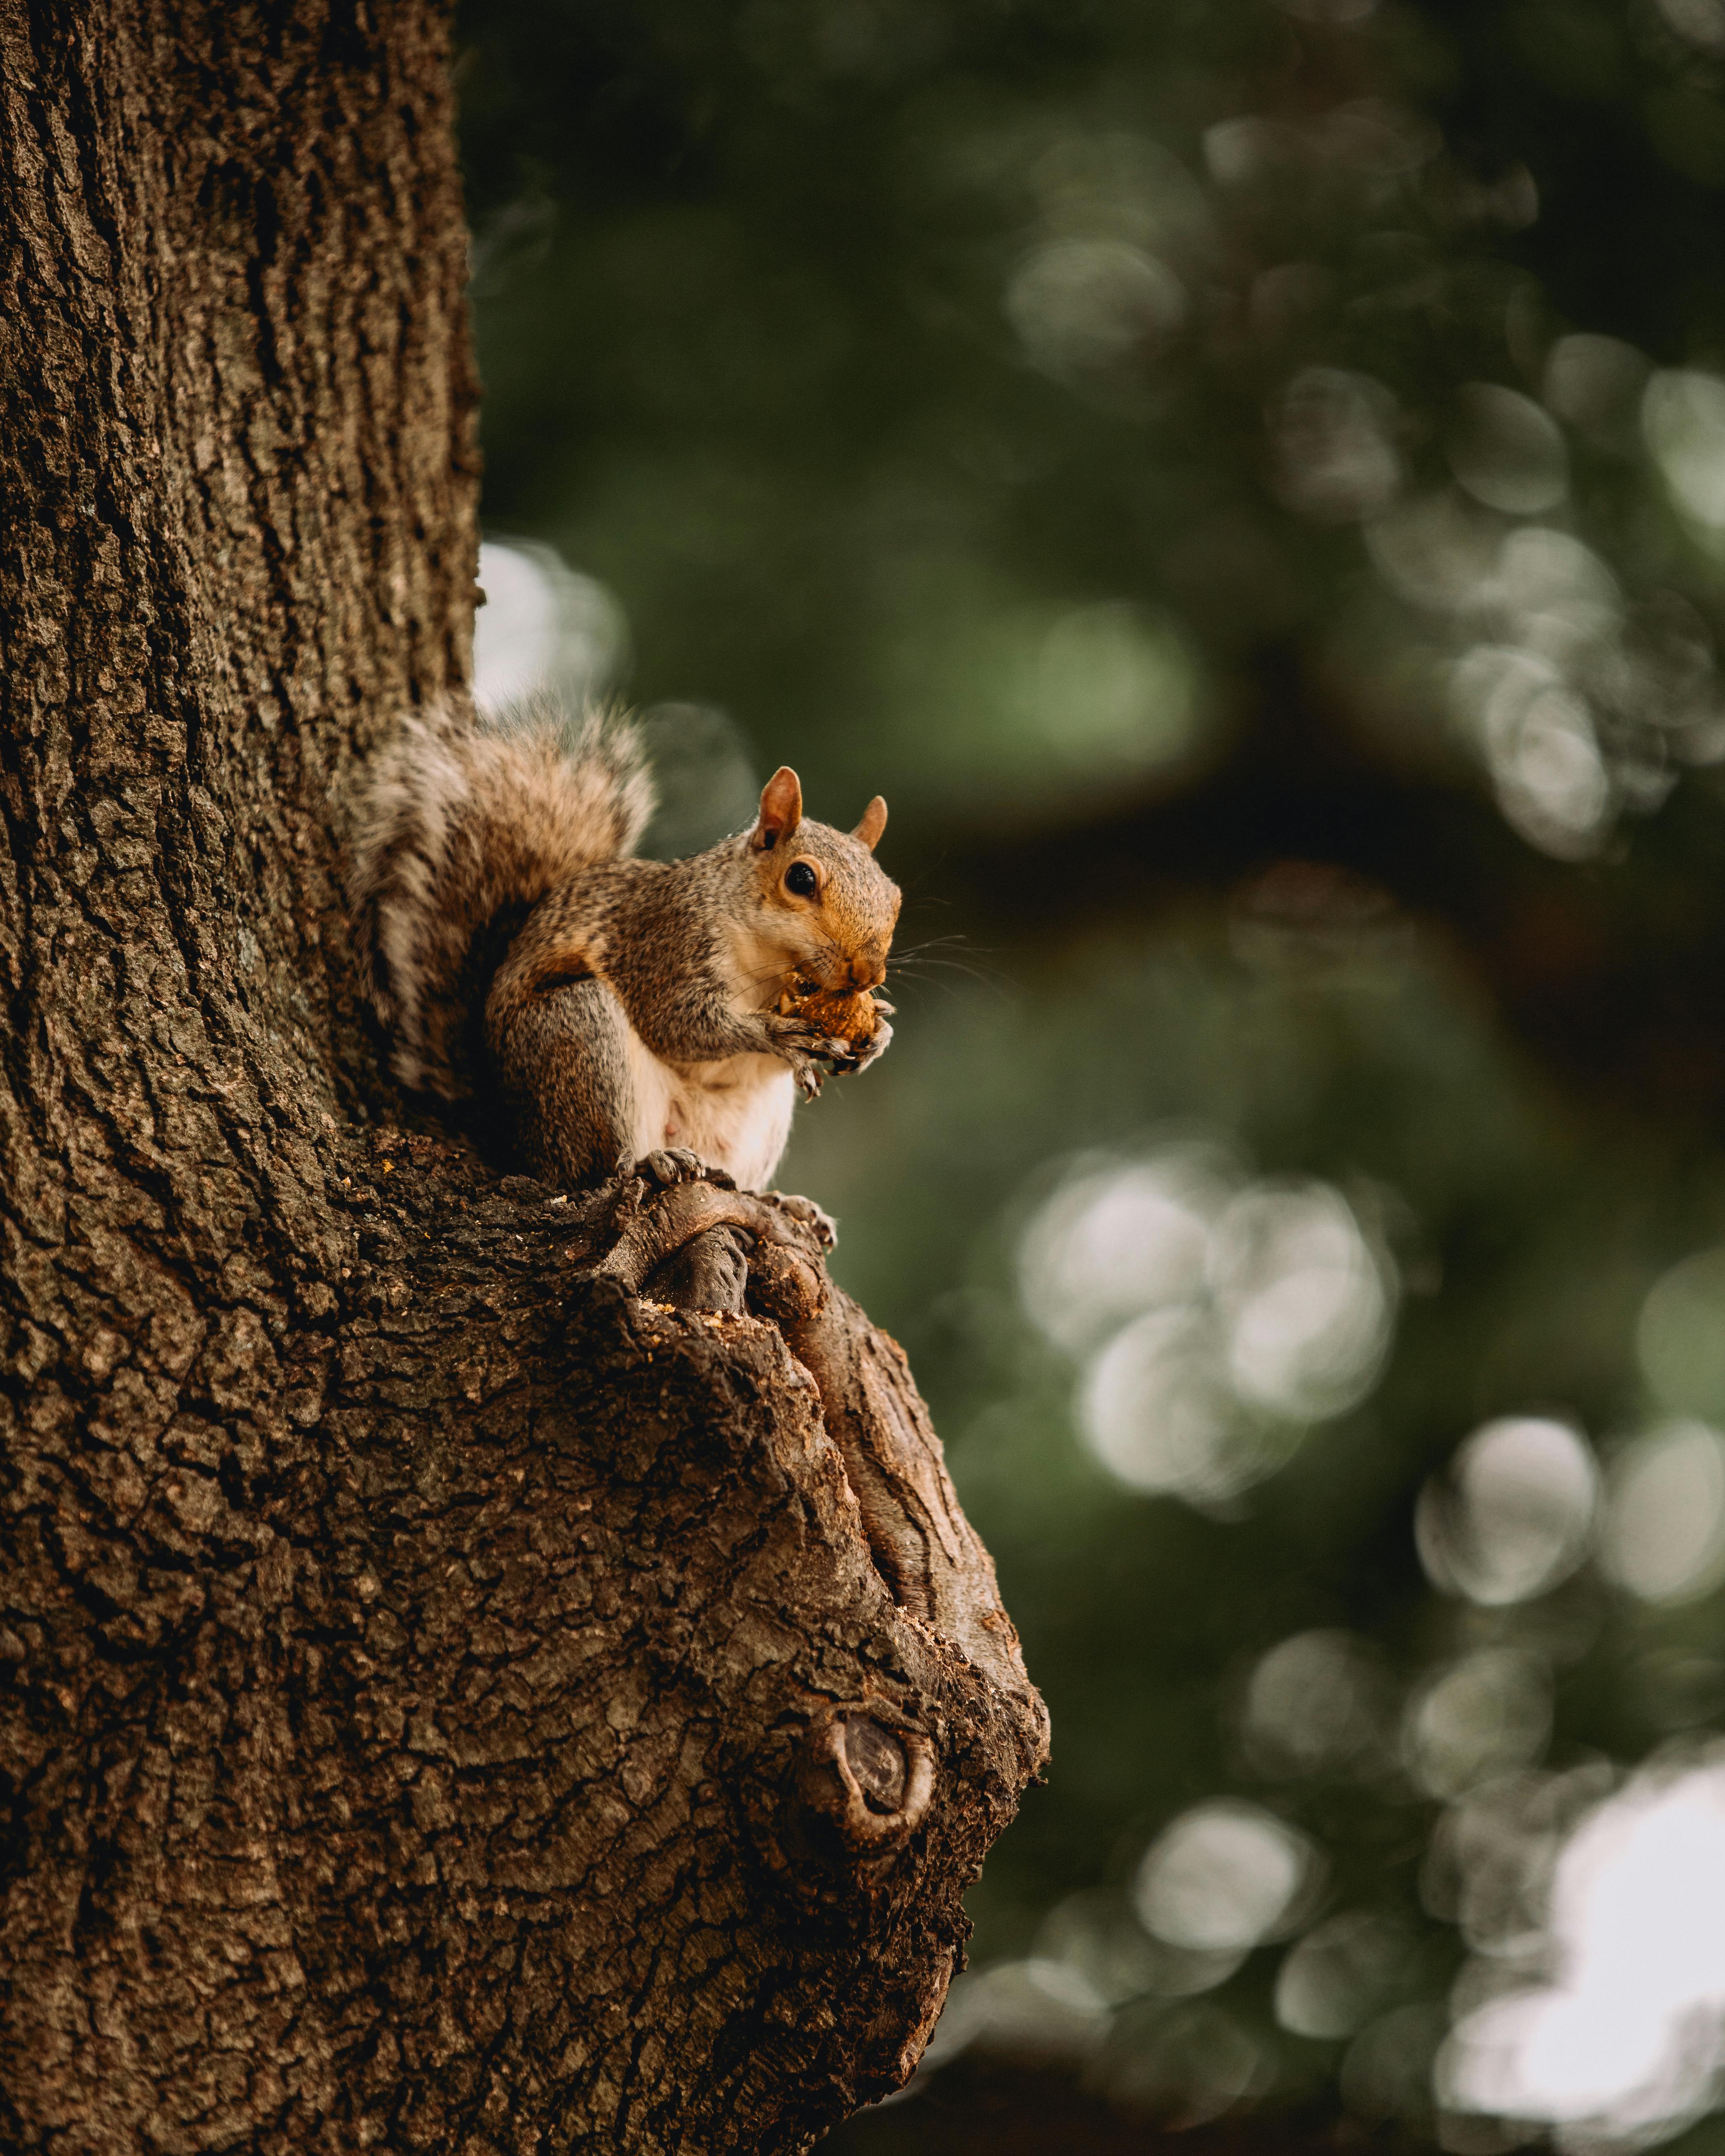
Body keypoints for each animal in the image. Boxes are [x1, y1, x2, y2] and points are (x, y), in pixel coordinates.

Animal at [347, 695, 901, 1194]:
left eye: (896, 895)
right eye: (800, 879)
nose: (867, 973)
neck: (771, 963)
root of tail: (514, 1139)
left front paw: (878, 1034)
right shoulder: (662, 944)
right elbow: (678, 1023)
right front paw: (777, 1034)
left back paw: (785, 1204)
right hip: (578, 1039)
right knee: (592, 1170)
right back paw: (648, 1162)